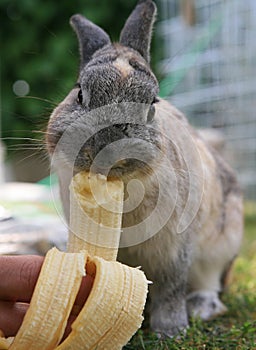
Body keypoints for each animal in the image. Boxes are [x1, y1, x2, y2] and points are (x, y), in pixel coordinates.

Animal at [46, 0, 244, 338]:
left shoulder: (175, 249)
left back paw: (201, 306)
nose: (105, 147)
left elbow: (171, 288)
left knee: (209, 279)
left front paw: (170, 330)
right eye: (80, 93)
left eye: (151, 104)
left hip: (225, 239)